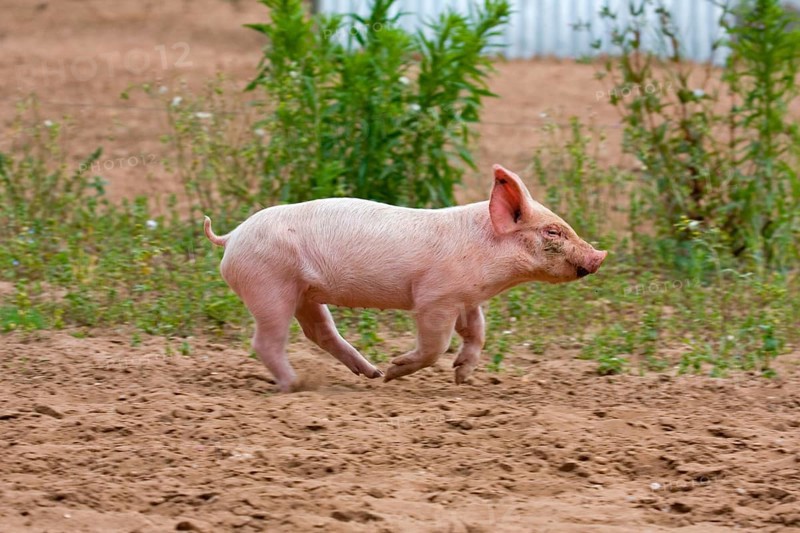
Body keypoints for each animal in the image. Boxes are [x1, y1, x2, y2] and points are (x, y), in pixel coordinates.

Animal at [204, 165, 607, 392]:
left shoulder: (466, 297)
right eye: (553, 232)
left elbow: (477, 331)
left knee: (319, 332)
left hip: (305, 293)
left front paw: (461, 378)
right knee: (266, 341)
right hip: (269, 287)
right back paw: (299, 385)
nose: (599, 255)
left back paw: (370, 373)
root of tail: (231, 236)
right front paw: (397, 372)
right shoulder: (435, 298)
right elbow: (435, 345)